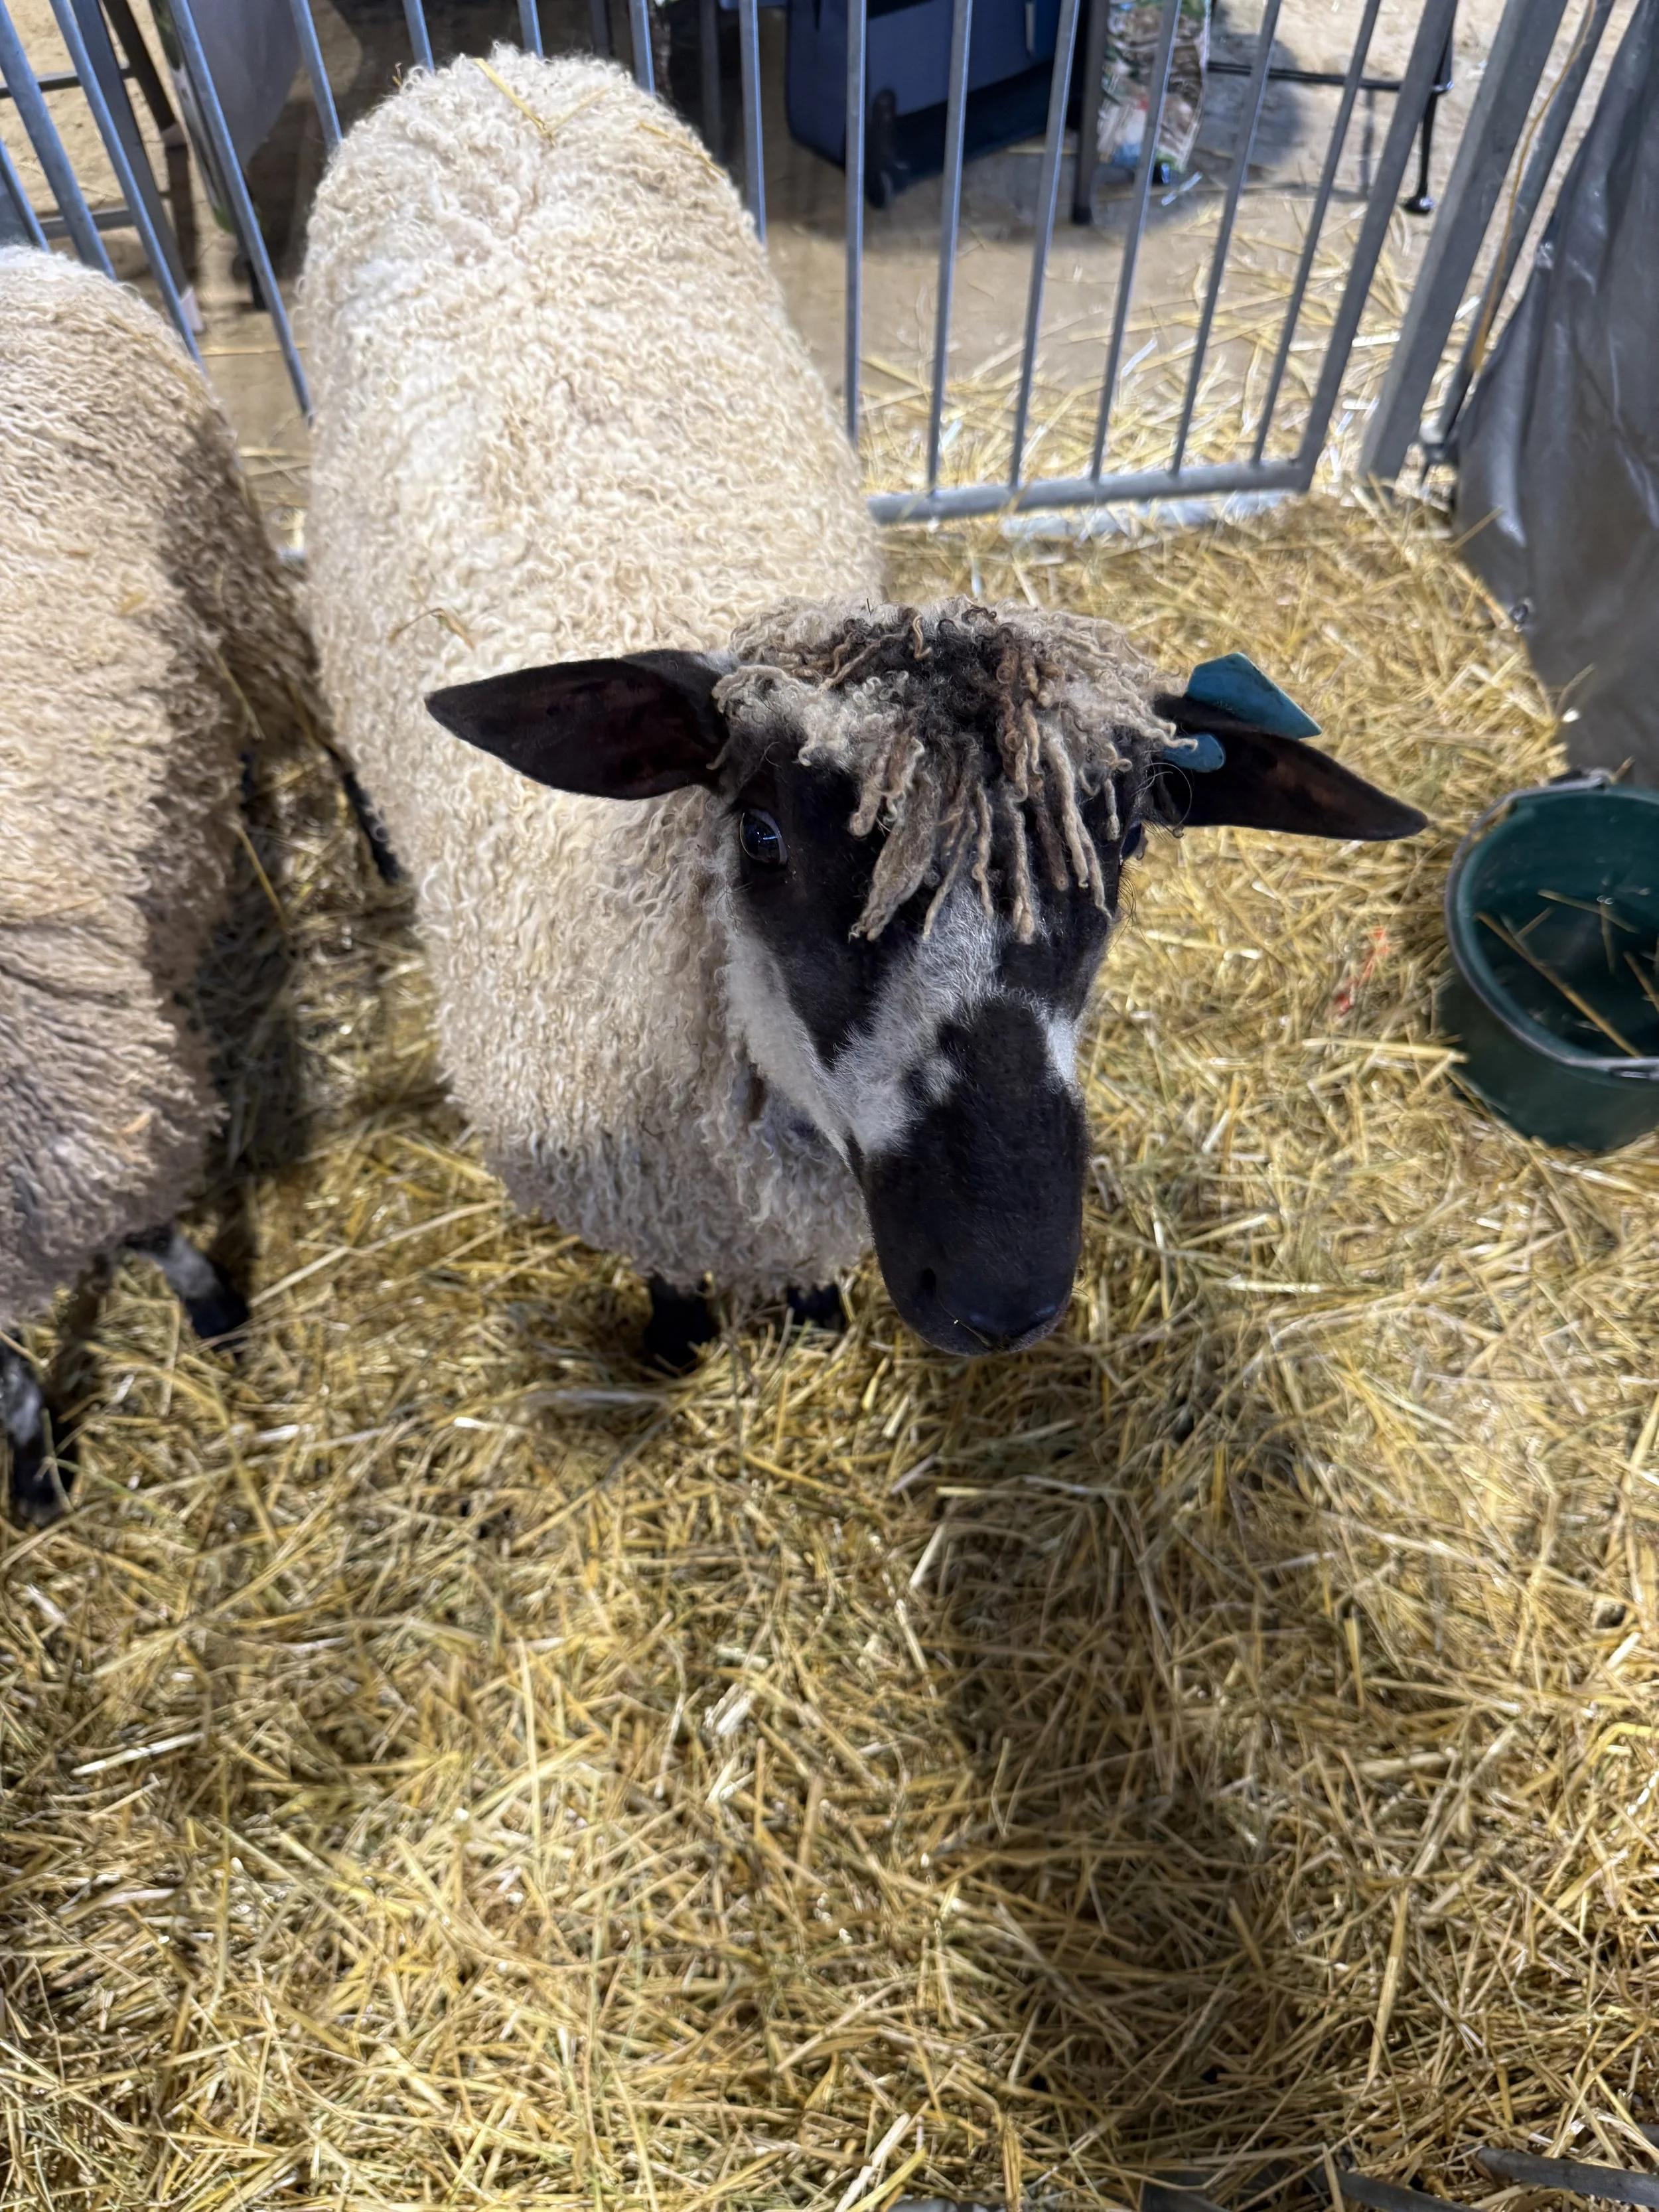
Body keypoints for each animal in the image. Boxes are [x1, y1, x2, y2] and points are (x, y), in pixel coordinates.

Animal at [301, 50, 1426, 1366]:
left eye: (1127, 847)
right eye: (761, 835)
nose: (999, 1295)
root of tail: (499, 73)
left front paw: (815, 1317)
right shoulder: (645, 1195)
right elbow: (668, 1277)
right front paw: (679, 1338)